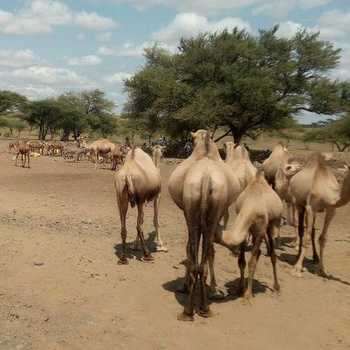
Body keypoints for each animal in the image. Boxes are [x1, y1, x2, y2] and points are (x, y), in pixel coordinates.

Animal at [167, 130, 241, 322]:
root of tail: (206, 178)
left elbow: (195, 249)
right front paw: (213, 289)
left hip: (195, 206)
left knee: (199, 254)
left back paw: (192, 310)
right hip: (208, 209)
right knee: (204, 250)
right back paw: (201, 307)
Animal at [217, 170, 284, 300]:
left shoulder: (260, 230)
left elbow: (251, 263)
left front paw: (247, 294)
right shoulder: (246, 230)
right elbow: (241, 261)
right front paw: (239, 289)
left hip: (271, 223)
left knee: (272, 254)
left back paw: (277, 287)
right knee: (259, 253)